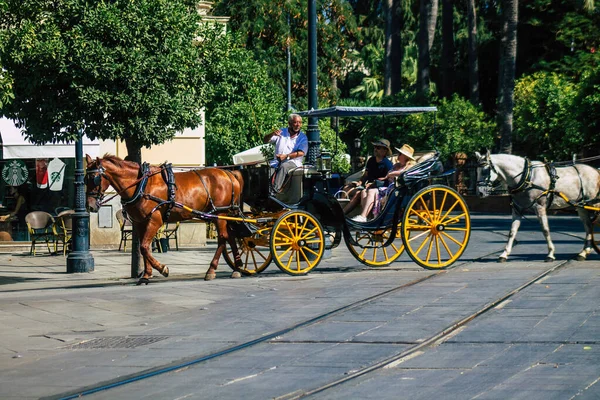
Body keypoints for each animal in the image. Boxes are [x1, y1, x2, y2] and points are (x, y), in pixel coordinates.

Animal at [84, 154, 244, 284]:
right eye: (84, 179)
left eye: (94, 178)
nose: (89, 206)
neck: (141, 185)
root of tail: (229, 173)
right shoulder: (140, 222)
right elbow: (144, 247)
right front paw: (146, 275)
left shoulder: (155, 220)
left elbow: (144, 247)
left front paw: (162, 268)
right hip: (225, 215)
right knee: (231, 236)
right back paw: (237, 268)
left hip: (220, 215)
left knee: (222, 238)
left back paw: (211, 270)